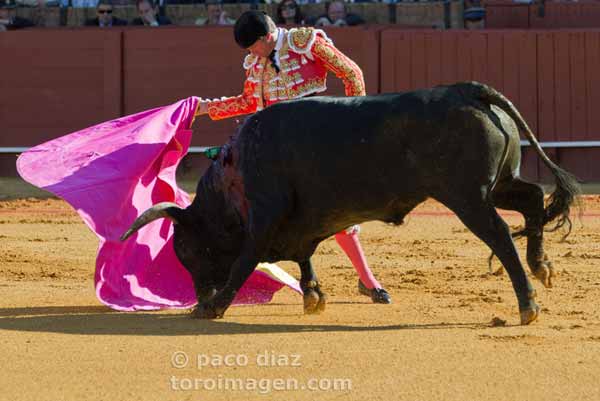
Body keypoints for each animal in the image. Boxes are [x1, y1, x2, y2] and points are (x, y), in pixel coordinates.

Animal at [119, 81, 580, 322]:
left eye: (187, 248)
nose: (198, 300)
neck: (234, 170)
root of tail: (466, 91)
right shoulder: (299, 224)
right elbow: (304, 256)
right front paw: (313, 297)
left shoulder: (265, 215)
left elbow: (245, 260)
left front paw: (216, 307)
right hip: (498, 184)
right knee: (532, 198)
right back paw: (542, 267)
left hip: (468, 197)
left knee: (500, 235)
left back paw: (528, 303)